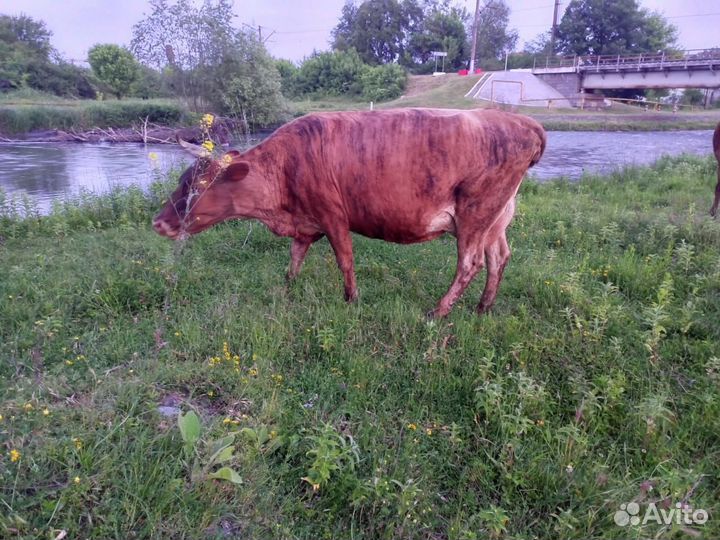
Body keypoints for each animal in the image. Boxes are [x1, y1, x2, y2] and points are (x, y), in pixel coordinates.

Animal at [153, 108, 546, 317]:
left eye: (196, 187)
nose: (158, 223)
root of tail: (522, 122)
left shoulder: (332, 215)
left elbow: (345, 259)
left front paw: (351, 299)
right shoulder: (305, 223)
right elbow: (294, 257)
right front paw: (287, 287)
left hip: (476, 213)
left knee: (470, 262)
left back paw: (438, 312)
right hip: (497, 218)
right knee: (498, 258)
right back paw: (483, 307)